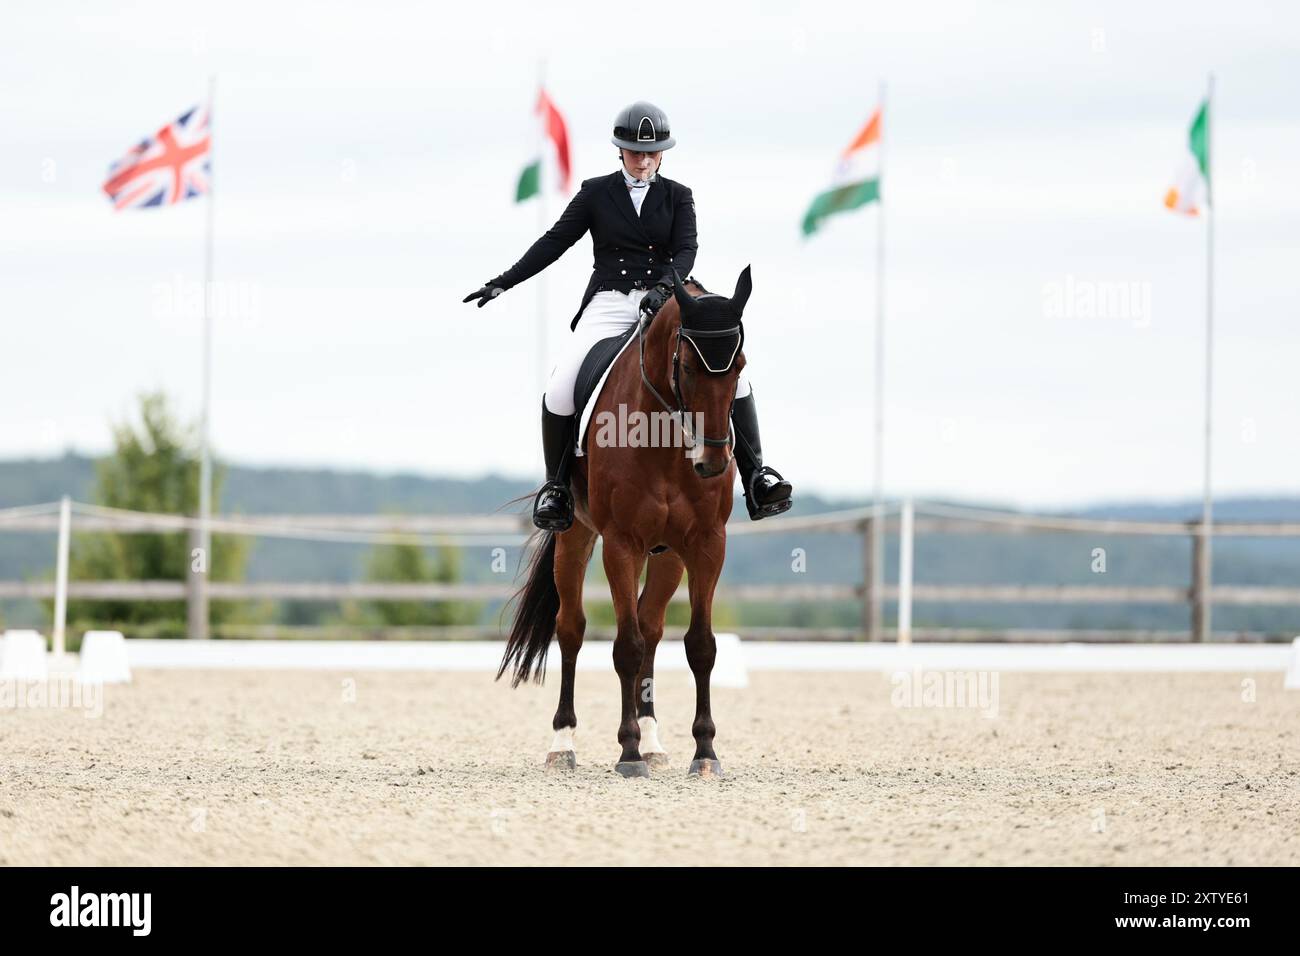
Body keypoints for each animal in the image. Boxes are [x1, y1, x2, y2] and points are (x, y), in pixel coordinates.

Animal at [493, 267, 754, 780]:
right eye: (687, 367)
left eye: (739, 367)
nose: (712, 462)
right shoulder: (621, 543)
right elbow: (624, 646)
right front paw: (628, 753)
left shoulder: (707, 544)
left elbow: (699, 645)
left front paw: (705, 752)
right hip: (577, 535)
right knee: (571, 629)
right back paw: (564, 744)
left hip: (668, 555)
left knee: (651, 627)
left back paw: (654, 742)